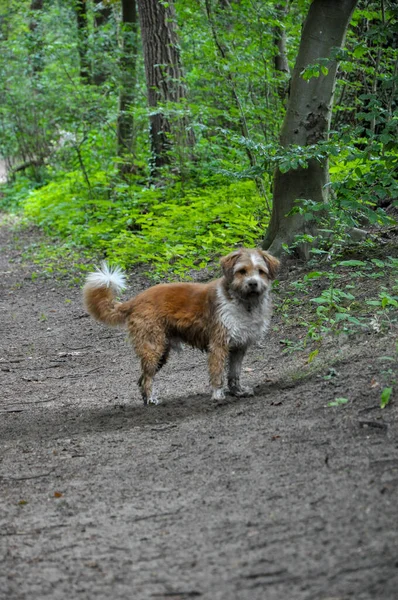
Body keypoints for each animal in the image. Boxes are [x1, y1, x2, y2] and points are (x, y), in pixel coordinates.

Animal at [82, 246, 278, 406]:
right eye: (242, 271)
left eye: (260, 271)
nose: (253, 283)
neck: (244, 303)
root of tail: (134, 301)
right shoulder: (219, 345)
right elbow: (217, 372)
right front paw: (218, 395)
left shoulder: (239, 346)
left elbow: (234, 373)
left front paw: (238, 391)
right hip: (153, 348)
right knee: (146, 378)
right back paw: (151, 399)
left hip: (161, 351)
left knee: (141, 378)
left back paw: (147, 400)